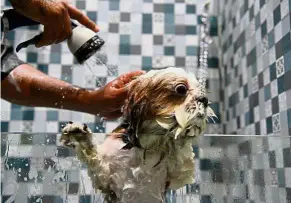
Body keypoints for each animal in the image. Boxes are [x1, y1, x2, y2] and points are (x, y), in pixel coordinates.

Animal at [60, 67, 217, 202]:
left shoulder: (176, 177)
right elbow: (95, 161)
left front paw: (179, 134)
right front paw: (79, 134)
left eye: (200, 90)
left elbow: (181, 163)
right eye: (181, 89)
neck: (149, 142)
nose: (204, 100)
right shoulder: (105, 179)